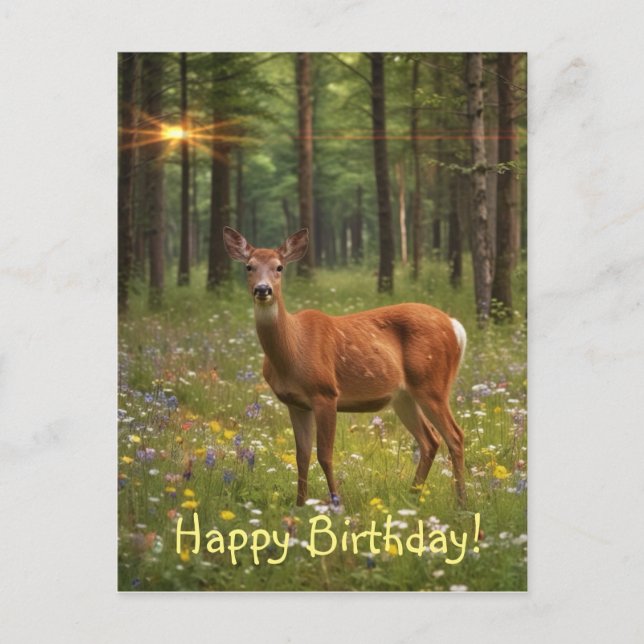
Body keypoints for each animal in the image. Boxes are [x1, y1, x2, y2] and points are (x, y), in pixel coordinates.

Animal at [223, 226, 468, 508]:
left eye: (279, 267)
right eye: (249, 266)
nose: (263, 289)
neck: (293, 350)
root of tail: (455, 326)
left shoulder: (326, 392)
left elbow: (325, 455)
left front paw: (336, 502)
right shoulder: (295, 403)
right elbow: (301, 456)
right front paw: (300, 505)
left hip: (432, 384)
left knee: (455, 436)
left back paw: (461, 503)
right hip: (404, 396)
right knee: (430, 440)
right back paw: (412, 496)